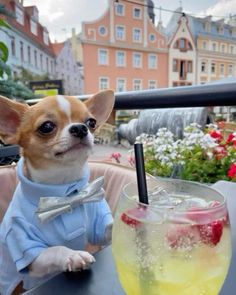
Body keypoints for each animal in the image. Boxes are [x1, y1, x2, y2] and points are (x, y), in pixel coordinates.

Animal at [0, 91, 115, 295]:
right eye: (46, 127)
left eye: (91, 122)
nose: (80, 128)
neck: (64, 192)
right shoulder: (31, 254)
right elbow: (56, 249)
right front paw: (74, 255)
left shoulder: (100, 226)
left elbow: (113, 228)